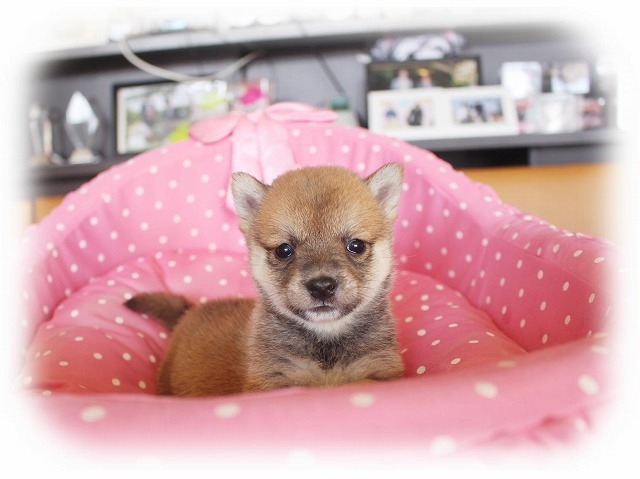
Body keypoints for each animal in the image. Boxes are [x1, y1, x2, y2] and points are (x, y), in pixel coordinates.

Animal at [125, 163, 405, 397]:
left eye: (356, 245)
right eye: (284, 250)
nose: (321, 286)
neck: (326, 345)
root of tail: (189, 312)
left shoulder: (377, 367)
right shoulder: (275, 379)